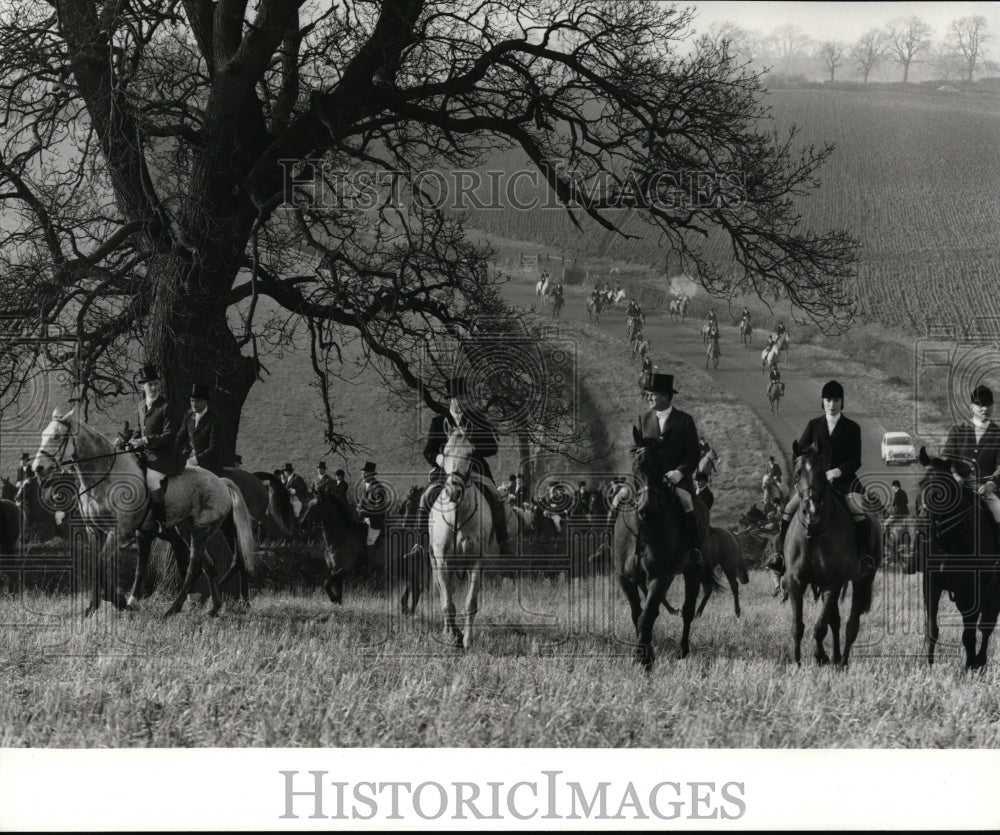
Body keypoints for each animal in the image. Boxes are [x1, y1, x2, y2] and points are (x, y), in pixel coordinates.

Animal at [34, 408, 258, 616]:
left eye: (57, 437)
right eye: (43, 435)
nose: (38, 468)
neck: (104, 477)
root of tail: (220, 481)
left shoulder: (119, 532)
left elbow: (103, 565)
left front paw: (119, 601)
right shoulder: (95, 531)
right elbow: (98, 566)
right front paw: (93, 607)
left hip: (201, 531)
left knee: (194, 567)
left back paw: (173, 609)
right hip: (186, 529)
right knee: (208, 565)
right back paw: (213, 608)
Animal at [612, 428, 708, 668]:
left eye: (662, 467)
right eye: (636, 465)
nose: (647, 510)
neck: (642, 529)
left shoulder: (659, 576)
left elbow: (646, 615)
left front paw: (643, 659)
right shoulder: (625, 578)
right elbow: (638, 614)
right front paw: (646, 652)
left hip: (693, 571)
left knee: (687, 611)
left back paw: (683, 652)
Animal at [784, 444, 880, 668]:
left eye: (822, 472)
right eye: (797, 473)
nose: (811, 510)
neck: (813, 532)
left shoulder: (831, 582)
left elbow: (820, 627)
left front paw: (820, 656)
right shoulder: (795, 581)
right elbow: (797, 626)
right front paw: (797, 663)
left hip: (862, 580)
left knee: (851, 625)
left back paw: (842, 662)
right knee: (835, 622)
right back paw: (836, 658)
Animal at [916, 448, 996, 668]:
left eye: (944, 489)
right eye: (920, 483)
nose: (923, 524)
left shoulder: (974, 590)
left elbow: (970, 633)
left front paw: (971, 665)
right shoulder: (931, 586)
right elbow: (932, 629)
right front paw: (927, 664)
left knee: (986, 627)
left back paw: (980, 661)